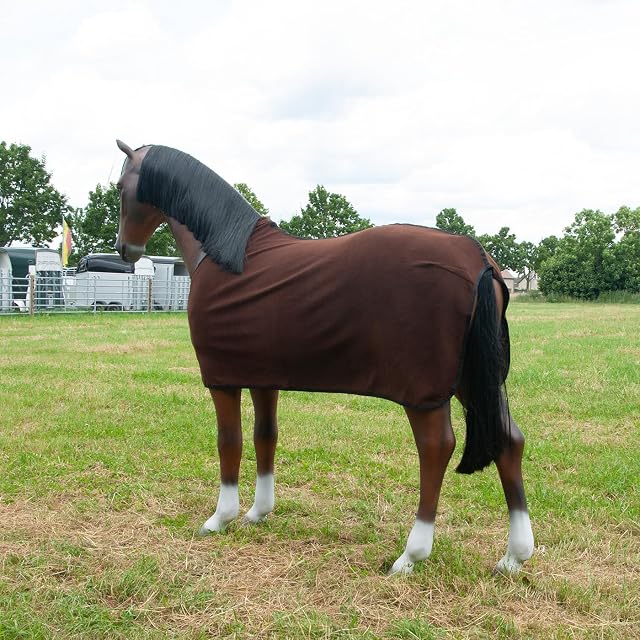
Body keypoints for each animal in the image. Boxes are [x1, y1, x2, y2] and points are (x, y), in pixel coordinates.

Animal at [114, 140, 534, 576]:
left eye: (120, 188)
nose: (123, 248)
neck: (225, 253)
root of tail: (479, 259)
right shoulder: (264, 378)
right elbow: (266, 437)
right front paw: (258, 512)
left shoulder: (222, 380)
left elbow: (229, 442)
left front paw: (220, 518)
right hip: (474, 381)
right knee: (509, 440)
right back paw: (513, 557)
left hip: (426, 394)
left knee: (436, 448)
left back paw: (411, 554)